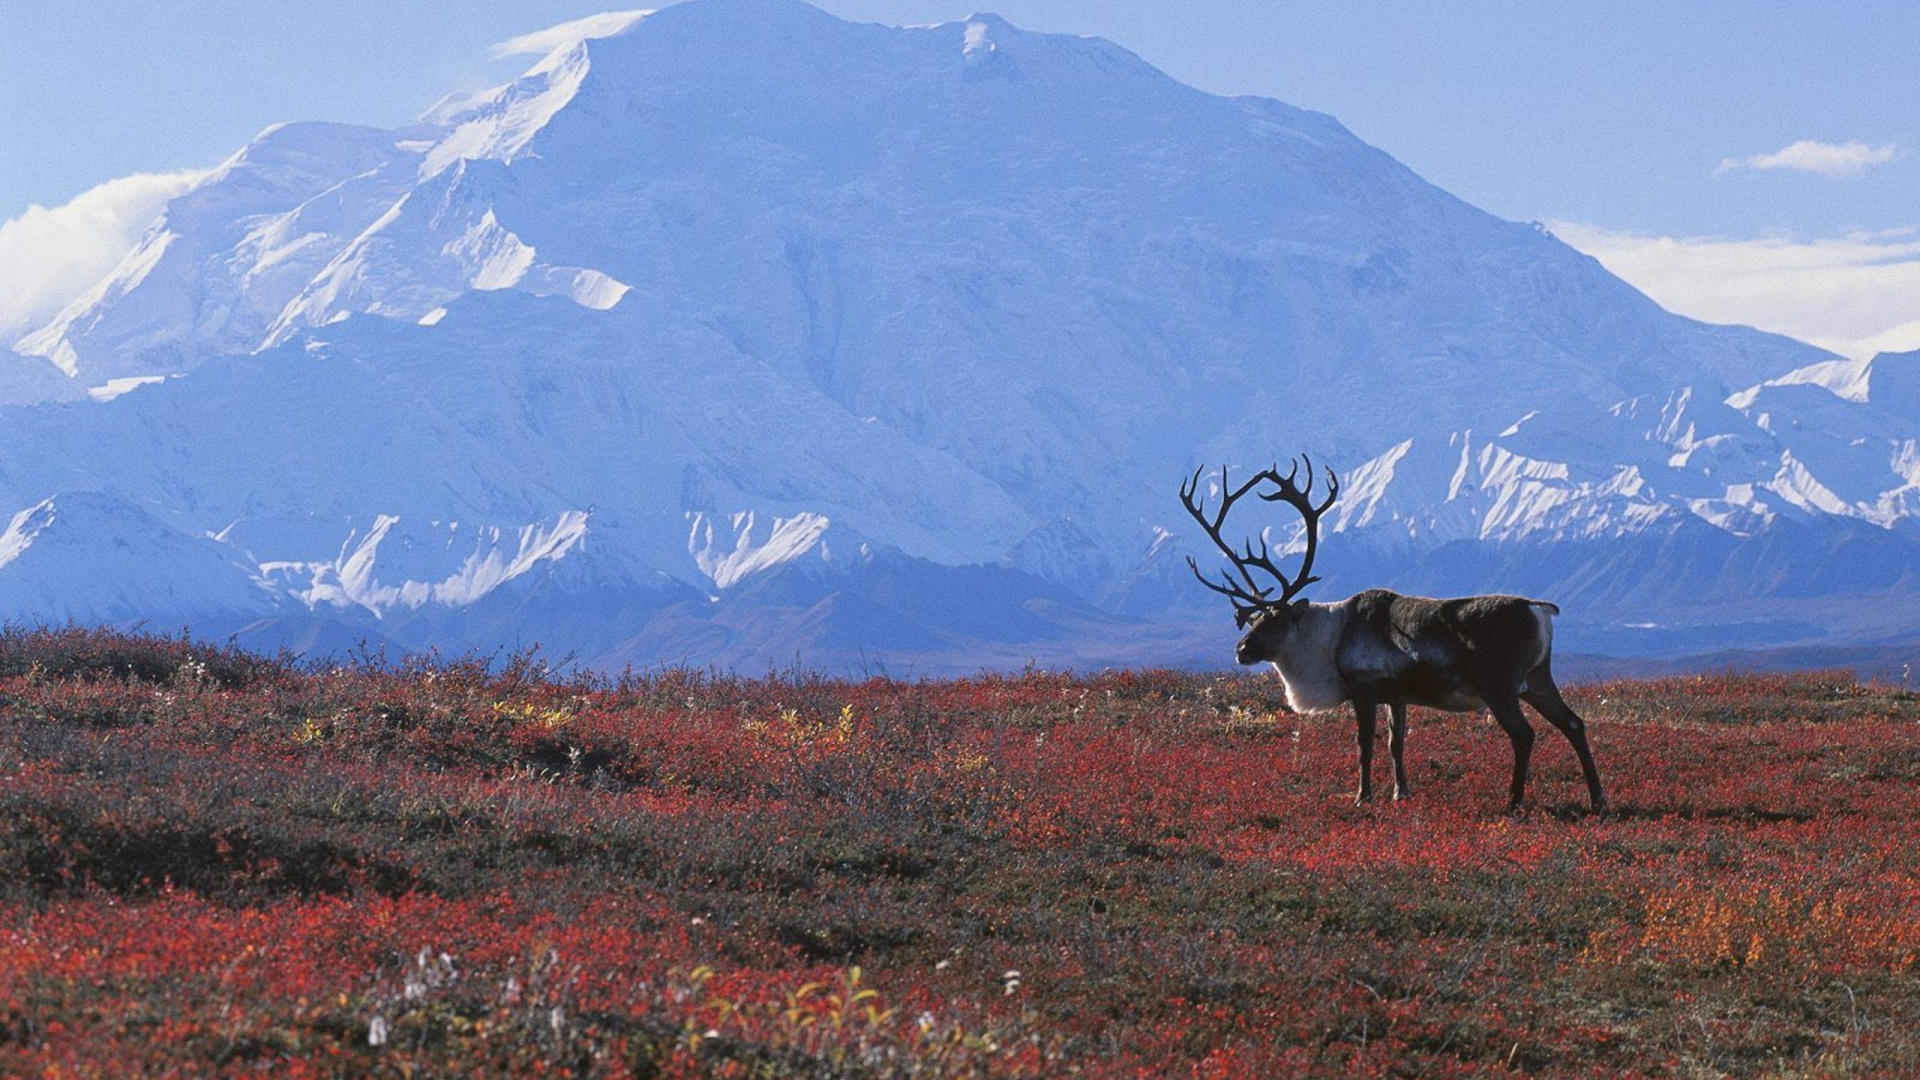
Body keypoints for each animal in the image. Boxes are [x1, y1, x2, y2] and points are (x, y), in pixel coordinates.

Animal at [1179, 457, 1606, 812]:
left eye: (1274, 619)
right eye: (1252, 619)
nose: (1241, 649)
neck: (1330, 637)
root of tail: (1539, 609)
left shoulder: (1364, 689)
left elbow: (1365, 745)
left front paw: (1362, 796)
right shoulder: (1396, 695)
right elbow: (1395, 743)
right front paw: (1402, 793)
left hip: (1498, 685)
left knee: (1524, 734)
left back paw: (1514, 801)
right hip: (1538, 679)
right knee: (1573, 724)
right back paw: (1597, 798)